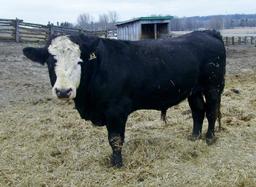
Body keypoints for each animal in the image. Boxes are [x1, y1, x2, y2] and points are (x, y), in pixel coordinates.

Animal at [23, 30, 225, 167]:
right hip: (194, 90)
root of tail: (207, 32)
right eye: (51, 61)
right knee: (198, 111)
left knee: (211, 111)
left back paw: (209, 138)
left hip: (213, 87)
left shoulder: (116, 111)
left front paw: (117, 163)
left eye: (80, 61)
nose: (63, 91)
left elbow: (115, 139)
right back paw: (194, 136)